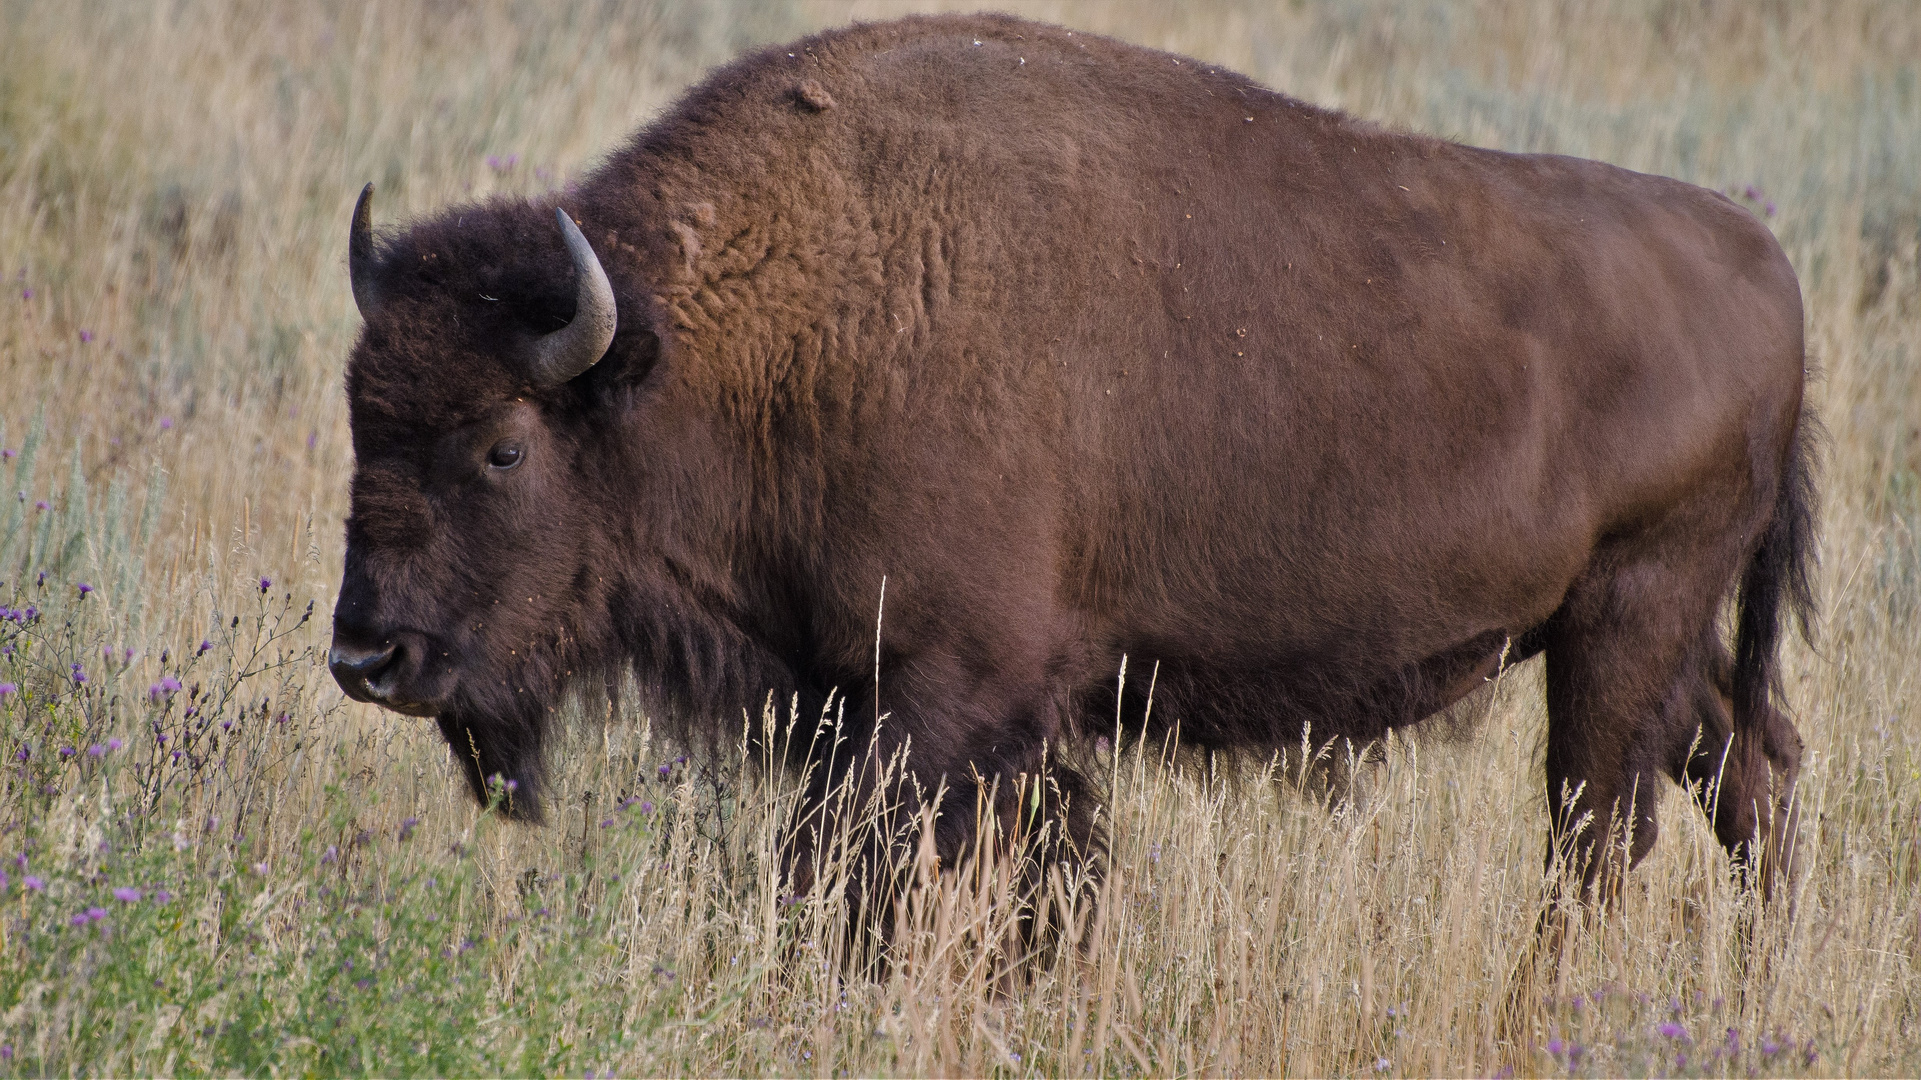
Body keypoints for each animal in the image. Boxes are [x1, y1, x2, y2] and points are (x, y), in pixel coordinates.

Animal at [330, 12, 1813, 910]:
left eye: (502, 446)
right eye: (359, 418)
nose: (366, 657)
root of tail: (1763, 264)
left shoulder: (946, 702)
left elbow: (866, 890)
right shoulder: (887, 705)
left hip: (1627, 618)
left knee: (1597, 836)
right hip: (1649, 635)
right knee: (1751, 771)